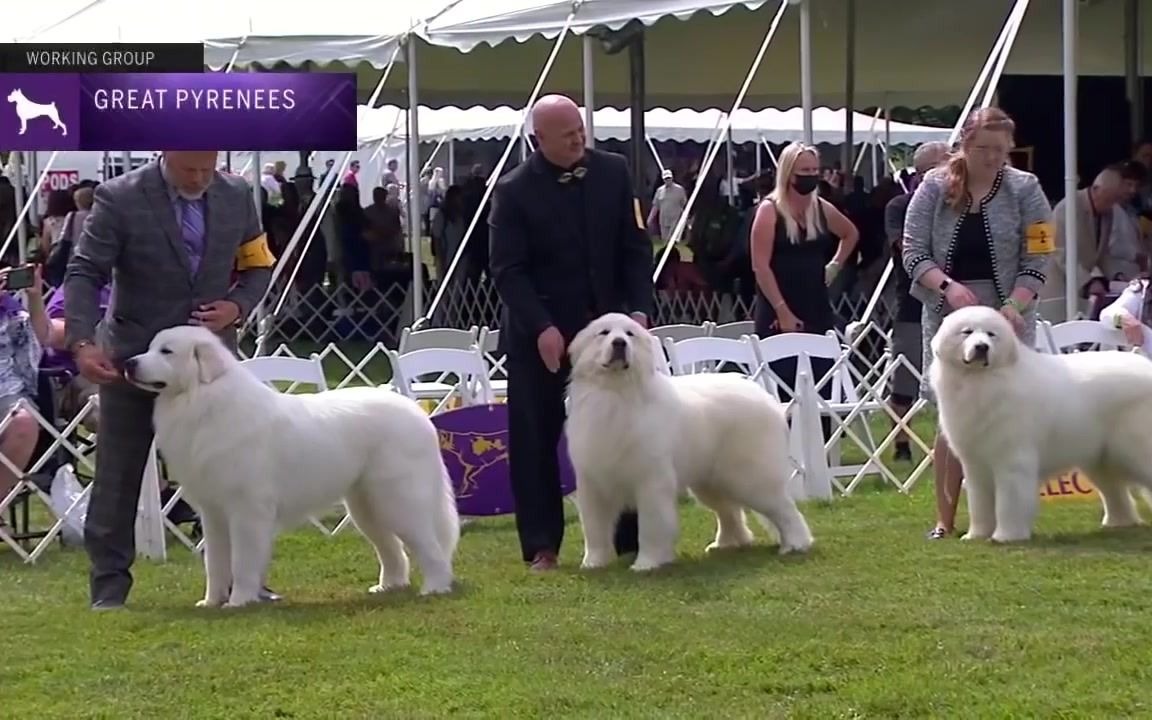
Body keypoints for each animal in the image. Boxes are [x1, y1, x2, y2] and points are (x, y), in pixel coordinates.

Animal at [124, 327, 458, 608]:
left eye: (166, 351)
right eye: (151, 348)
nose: (128, 363)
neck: (204, 401)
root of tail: (419, 416)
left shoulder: (247, 511)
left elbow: (242, 563)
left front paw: (238, 602)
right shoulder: (213, 513)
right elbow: (215, 564)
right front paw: (210, 603)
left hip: (398, 501)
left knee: (430, 547)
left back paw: (435, 587)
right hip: (365, 508)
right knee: (392, 550)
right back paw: (389, 586)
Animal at [562, 311, 815, 569]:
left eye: (629, 334)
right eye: (603, 333)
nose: (619, 343)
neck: (615, 394)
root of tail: (765, 398)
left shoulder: (651, 481)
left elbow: (651, 526)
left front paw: (647, 563)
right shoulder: (593, 482)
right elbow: (594, 529)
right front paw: (593, 563)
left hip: (751, 478)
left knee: (784, 509)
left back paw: (795, 544)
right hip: (711, 481)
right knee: (729, 512)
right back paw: (727, 544)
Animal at [926, 306, 1152, 541]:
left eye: (991, 334)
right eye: (967, 332)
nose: (981, 347)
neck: (981, 381)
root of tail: (1146, 365)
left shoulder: (1012, 460)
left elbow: (1009, 502)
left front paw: (1006, 536)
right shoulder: (975, 464)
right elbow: (979, 504)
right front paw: (976, 535)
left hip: (1135, 449)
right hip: (1099, 458)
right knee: (1115, 490)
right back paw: (1118, 523)